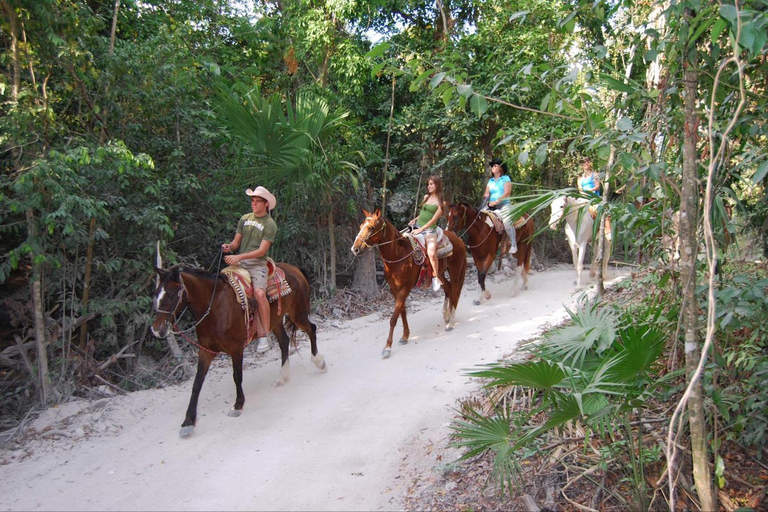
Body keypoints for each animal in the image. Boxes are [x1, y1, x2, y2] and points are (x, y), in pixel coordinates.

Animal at [152, 264, 326, 436]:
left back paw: (319, 362)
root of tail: (295, 269)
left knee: (311, 329)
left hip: (298, 314)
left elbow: (237, 376)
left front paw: (238, 405)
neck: (215, 307)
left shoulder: (236, 349)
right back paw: (282, 377)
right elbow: (197, 383)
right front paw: (188, 421)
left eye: (172, 296)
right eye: (156, 295)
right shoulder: (206, 351)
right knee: (284, 342)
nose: (156, 330)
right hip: (275, 321)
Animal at [350, 208, 468, 360]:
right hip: (440, 274)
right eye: (360, 226)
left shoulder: (404, 289)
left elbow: (394, 318)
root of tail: (458, 239)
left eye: (370, 228)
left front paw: (387, 347)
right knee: (448, 290)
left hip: (455, 271)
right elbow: (402, 313)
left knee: (454, 292)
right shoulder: (395, 290)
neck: (398, 255)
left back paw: (450, 322)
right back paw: (447, 318)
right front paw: (405, 337)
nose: (355, 249)